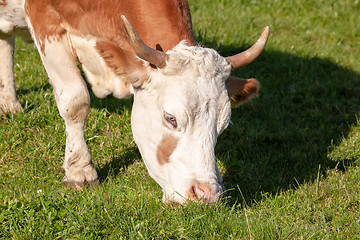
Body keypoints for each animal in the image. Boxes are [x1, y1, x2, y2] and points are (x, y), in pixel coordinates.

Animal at [0, 0, 268, 204]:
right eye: (170, 118)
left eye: (222, 127)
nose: (206, 195)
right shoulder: (44, 19)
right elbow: (76, 100)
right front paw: (80, 170)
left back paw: (9, 104)